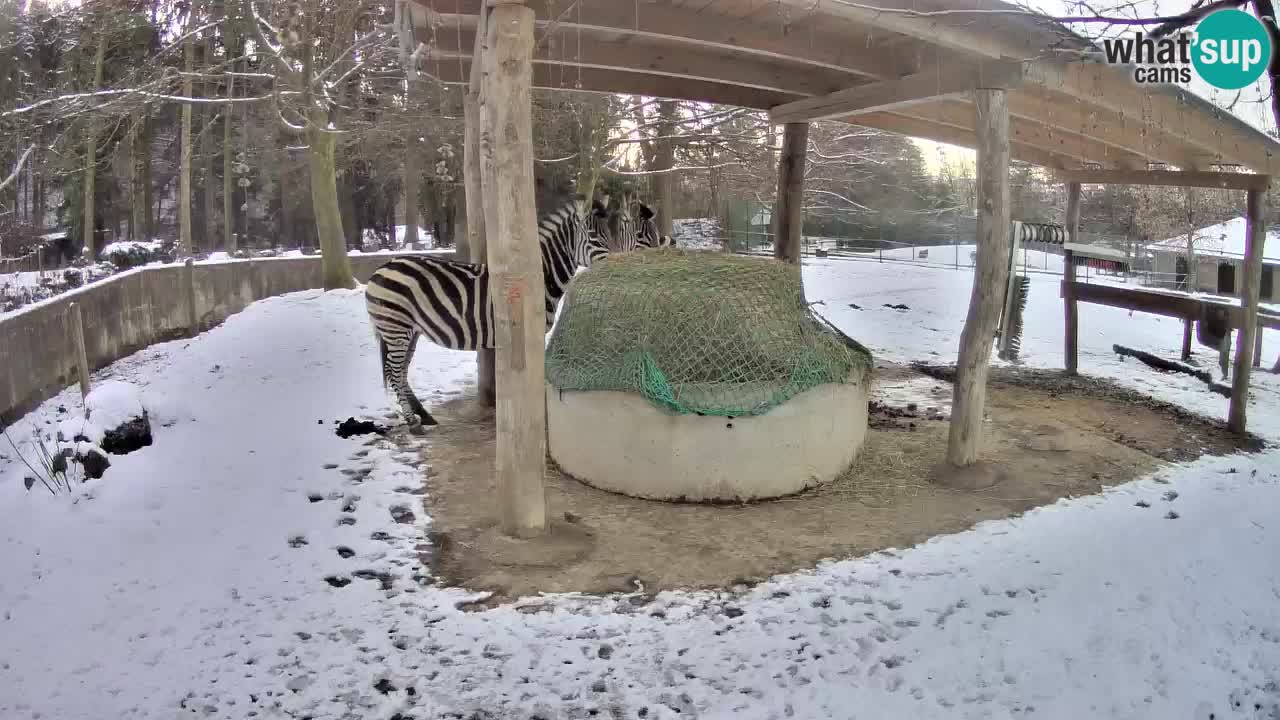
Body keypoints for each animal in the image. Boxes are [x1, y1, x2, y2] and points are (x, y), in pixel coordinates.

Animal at [366, 193, 609, 422]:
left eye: (609, 234)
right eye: (594, 236)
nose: (613, 262)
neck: (538, 277)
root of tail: (381, 268)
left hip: (409, 330)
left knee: (401, 371)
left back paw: (423, 416)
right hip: (396, 327)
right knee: (393, 371)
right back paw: (411, 421)